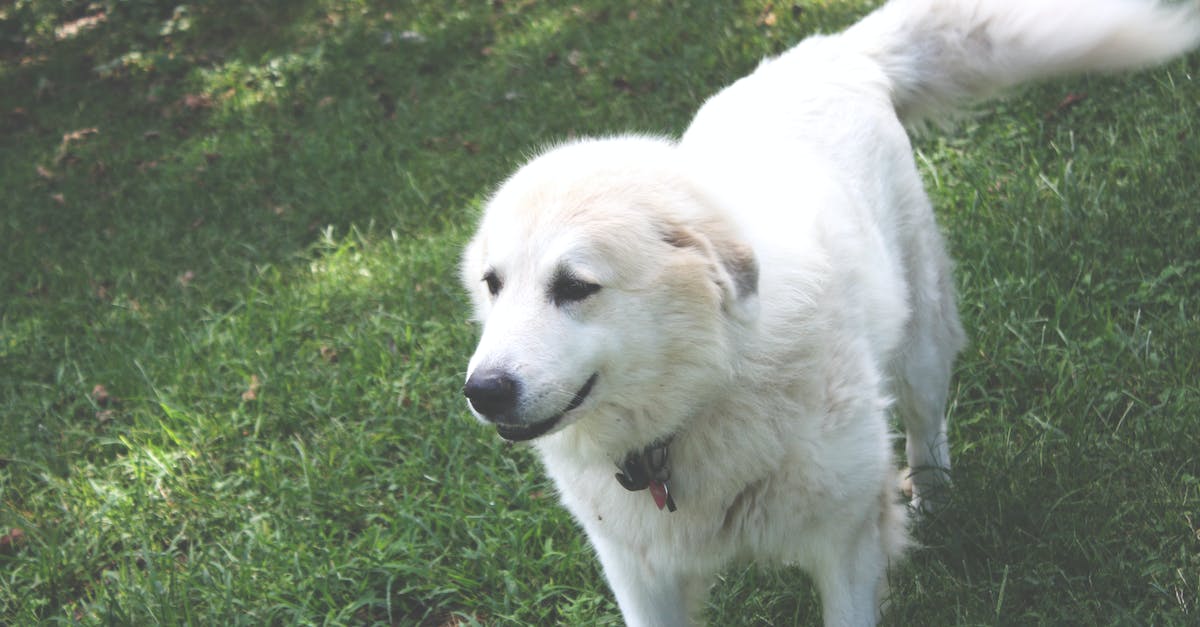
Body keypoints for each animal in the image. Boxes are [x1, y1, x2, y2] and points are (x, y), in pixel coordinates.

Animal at [458, 2, 1200, 619]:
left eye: (576, 286)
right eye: (494, 284)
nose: (482, 391)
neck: (705, 397)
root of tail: (830, 52)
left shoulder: (845, 545)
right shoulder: (644, 578)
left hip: (920, 345)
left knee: (928, 430)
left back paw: (933, 502)